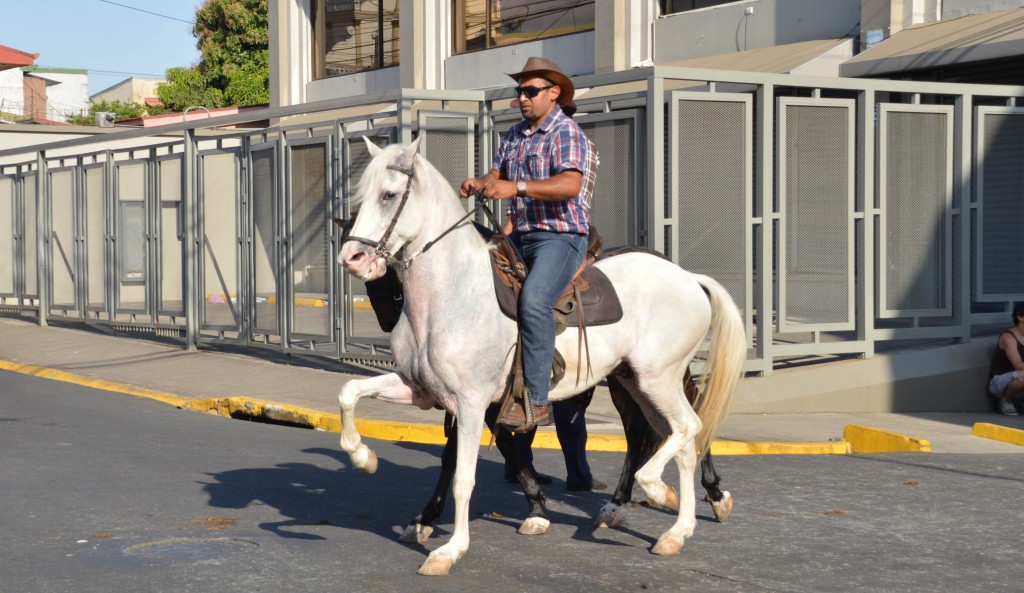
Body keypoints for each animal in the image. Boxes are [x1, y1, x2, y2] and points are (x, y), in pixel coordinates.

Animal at [335, 138, 745, 573]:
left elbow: (463, 476)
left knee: (688, 427)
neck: (451, 294)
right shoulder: (421, 390)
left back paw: (666, 494)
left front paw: (451, 549)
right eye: (360, 198)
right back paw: (673, 529)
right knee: (671, 439)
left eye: (388, 195)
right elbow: (349, 392)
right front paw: (364, 458)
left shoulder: (471, 402)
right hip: (634, 381)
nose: (352, 260)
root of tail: (688, 278)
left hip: (659, 378)